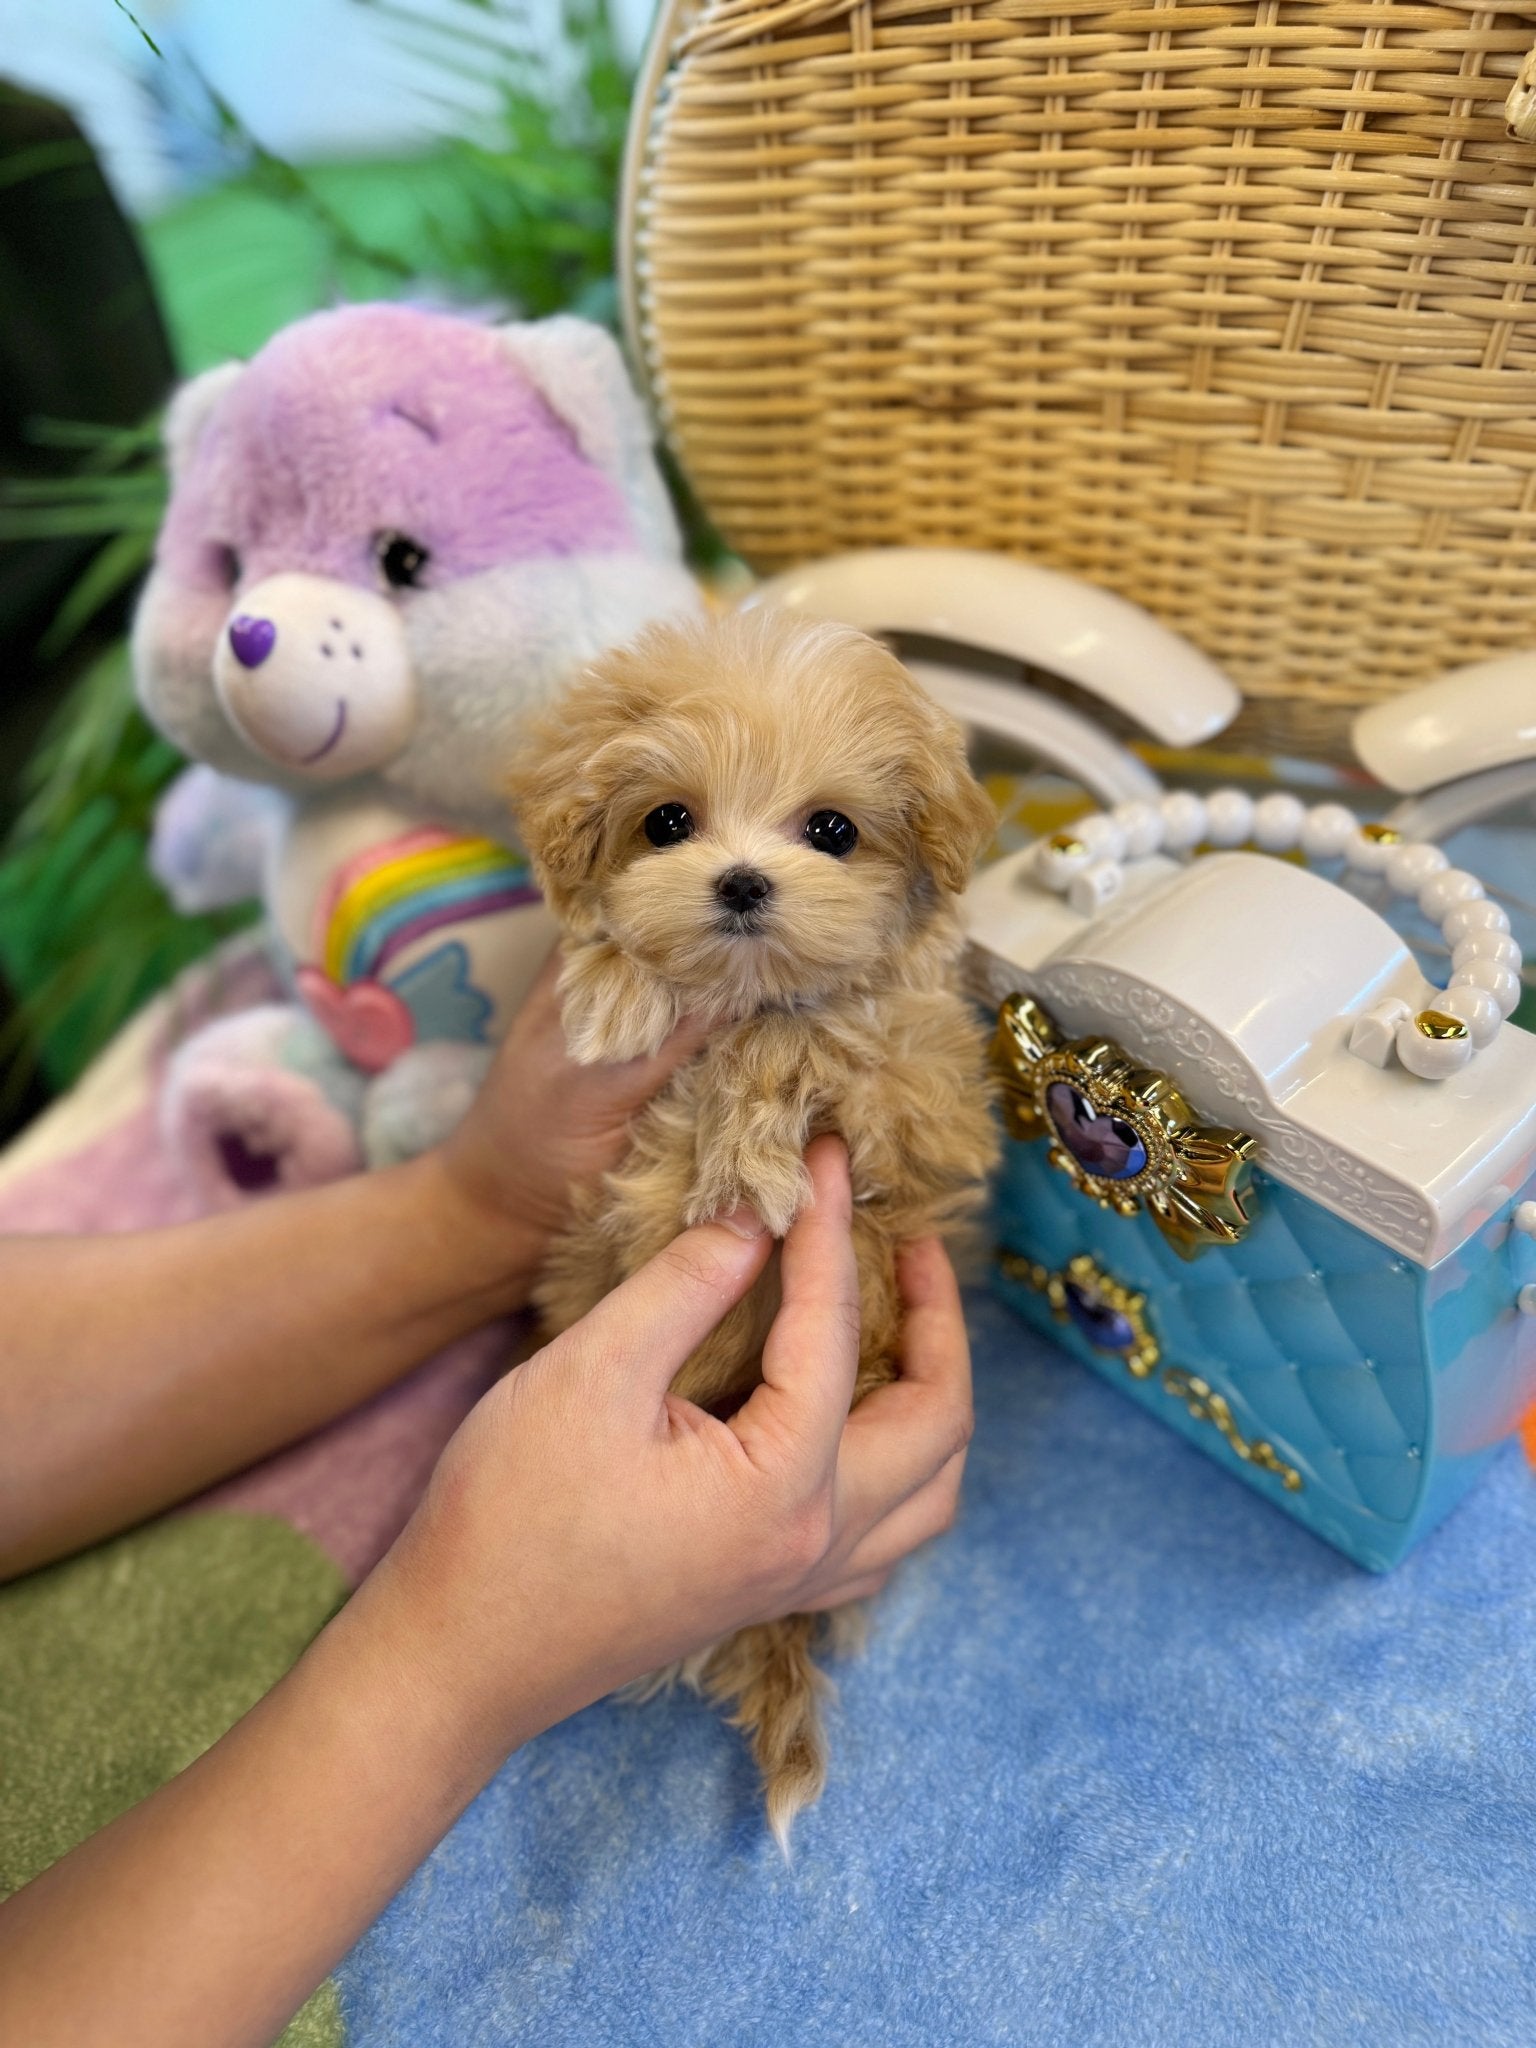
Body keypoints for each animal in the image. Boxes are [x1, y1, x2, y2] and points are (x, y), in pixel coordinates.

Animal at [512, 606, 1003, 1843]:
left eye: (832, 830)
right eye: (667, 821)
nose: (738, 881)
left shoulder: (923, 1101)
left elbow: (816, 1028)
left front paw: (752, 1134)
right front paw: (619, 987)